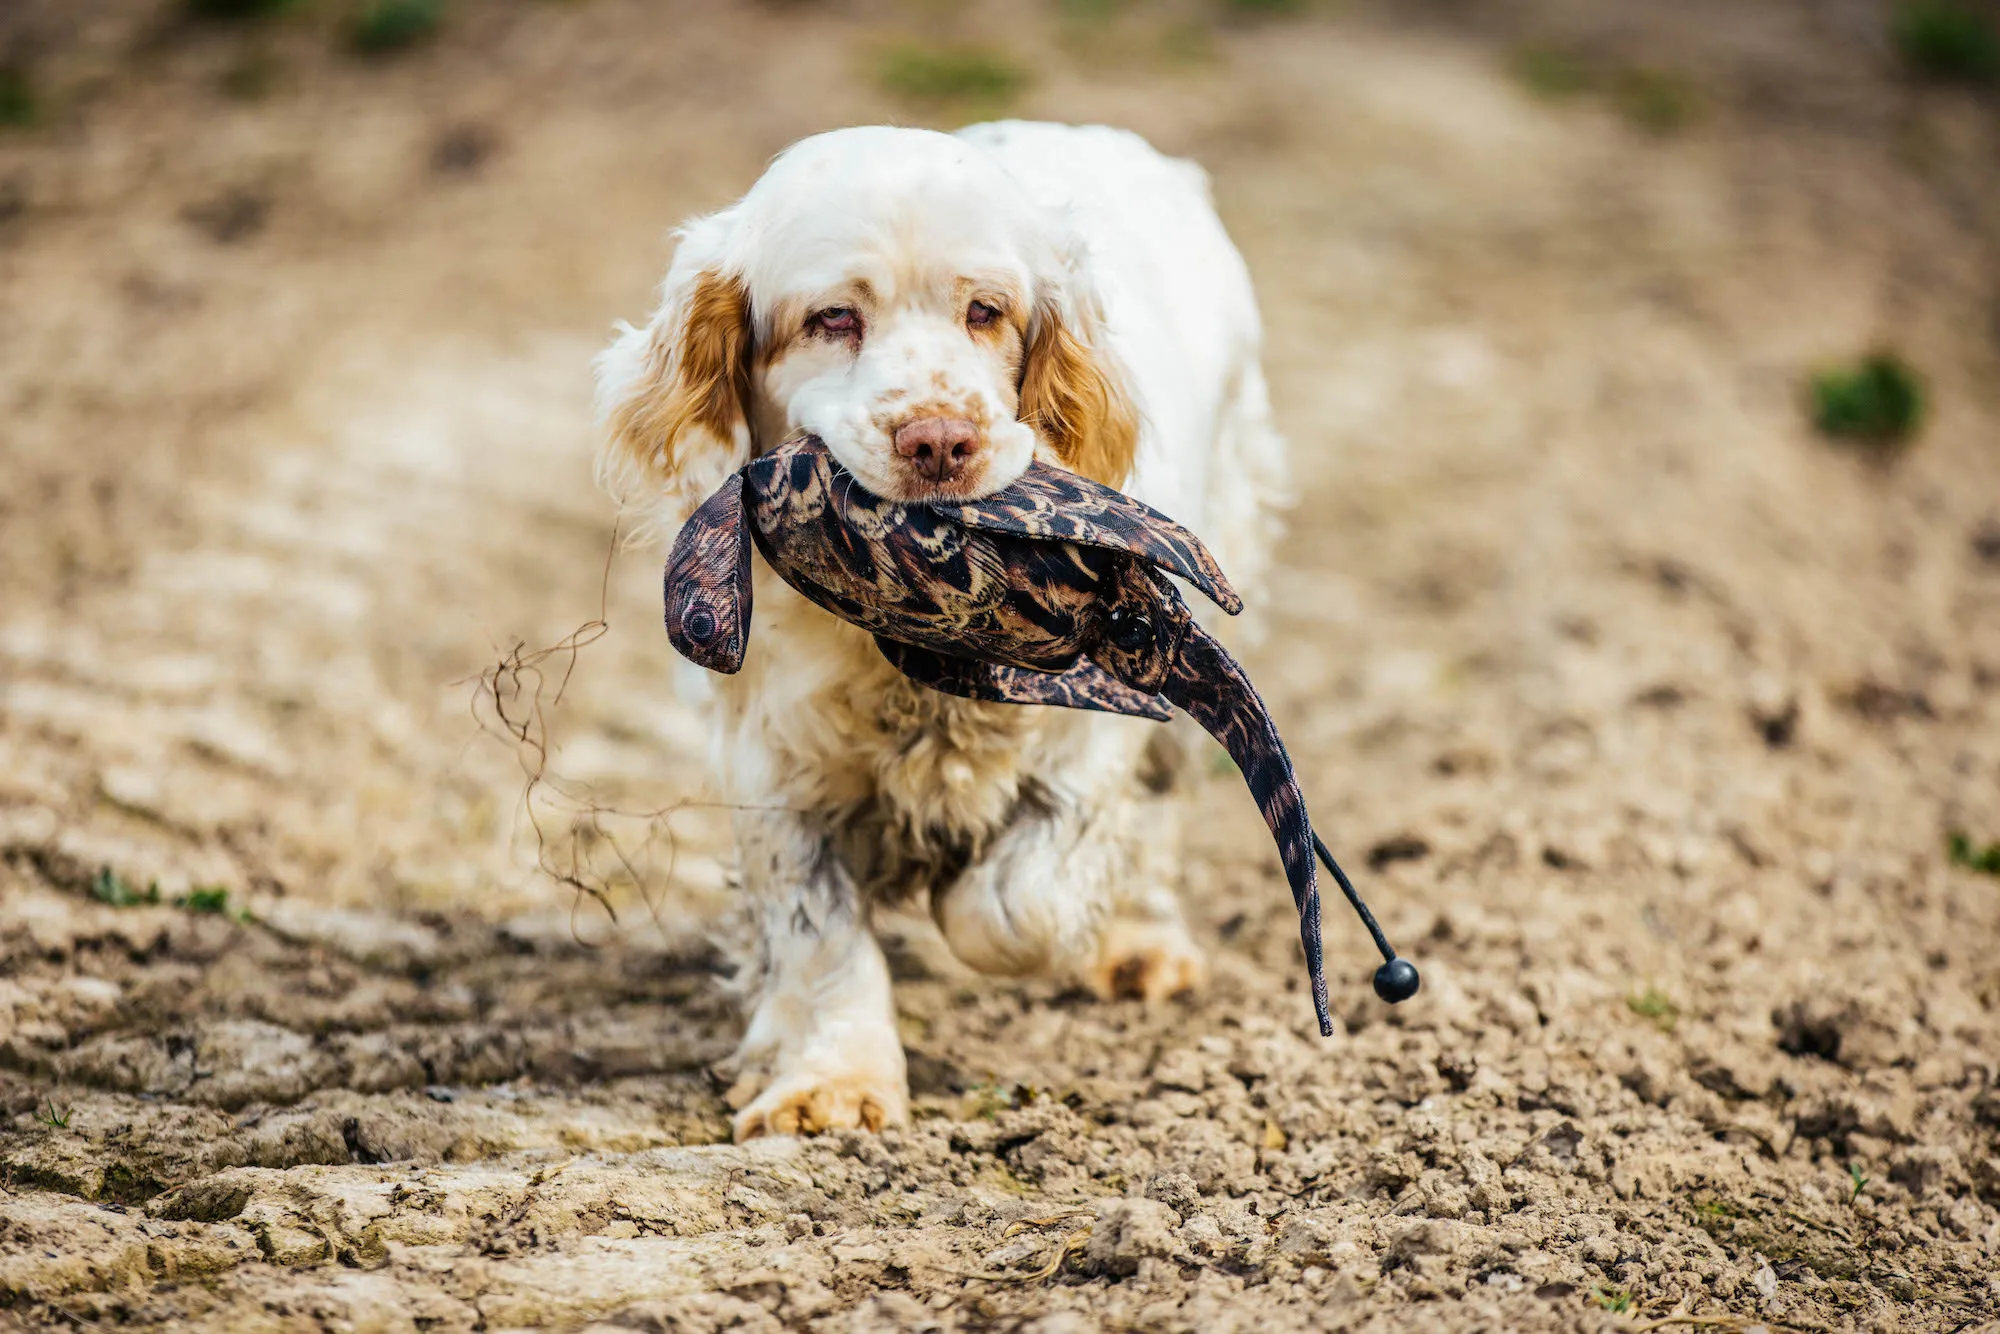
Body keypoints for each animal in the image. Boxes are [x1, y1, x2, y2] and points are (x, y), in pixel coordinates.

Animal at [592, 122, 1288, 1136]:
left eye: (986, 312)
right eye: (832, 319)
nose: (939, 441)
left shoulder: (1090, 735)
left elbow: (1011, 908)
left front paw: (966, 887)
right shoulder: (775, 761)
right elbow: (818, 933)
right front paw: (831, 1080)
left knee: (1157, 811)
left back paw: (1138, 940)